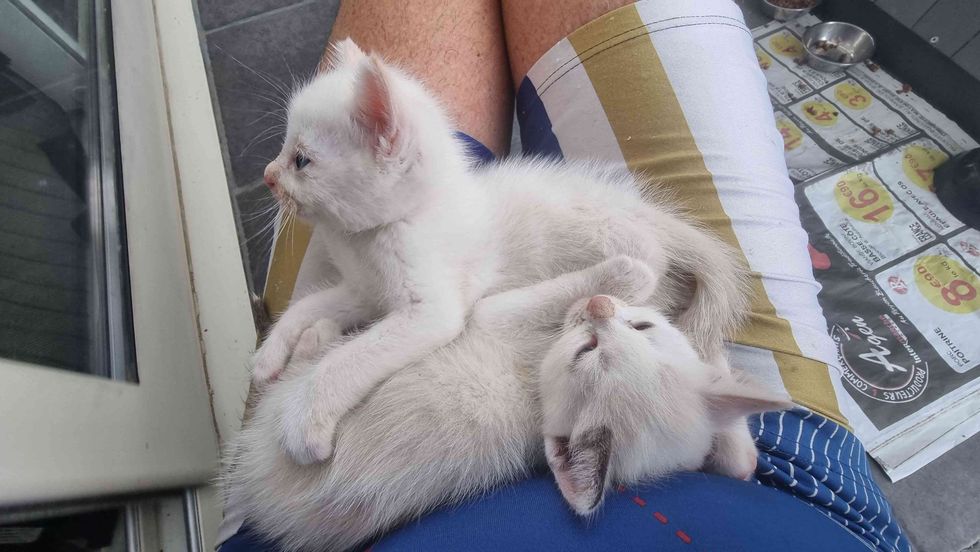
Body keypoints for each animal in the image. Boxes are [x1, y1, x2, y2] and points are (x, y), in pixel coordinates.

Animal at [225, 257, 791, 552]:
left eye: (586, 351)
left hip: (276, 411)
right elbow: (732, 446)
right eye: (642, 326)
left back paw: (309, 339)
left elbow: (502, 305)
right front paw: (735, 410)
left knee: (291, 374)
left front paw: (626, 272)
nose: (598, 305)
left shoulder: (493, 319)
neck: (534, 387)